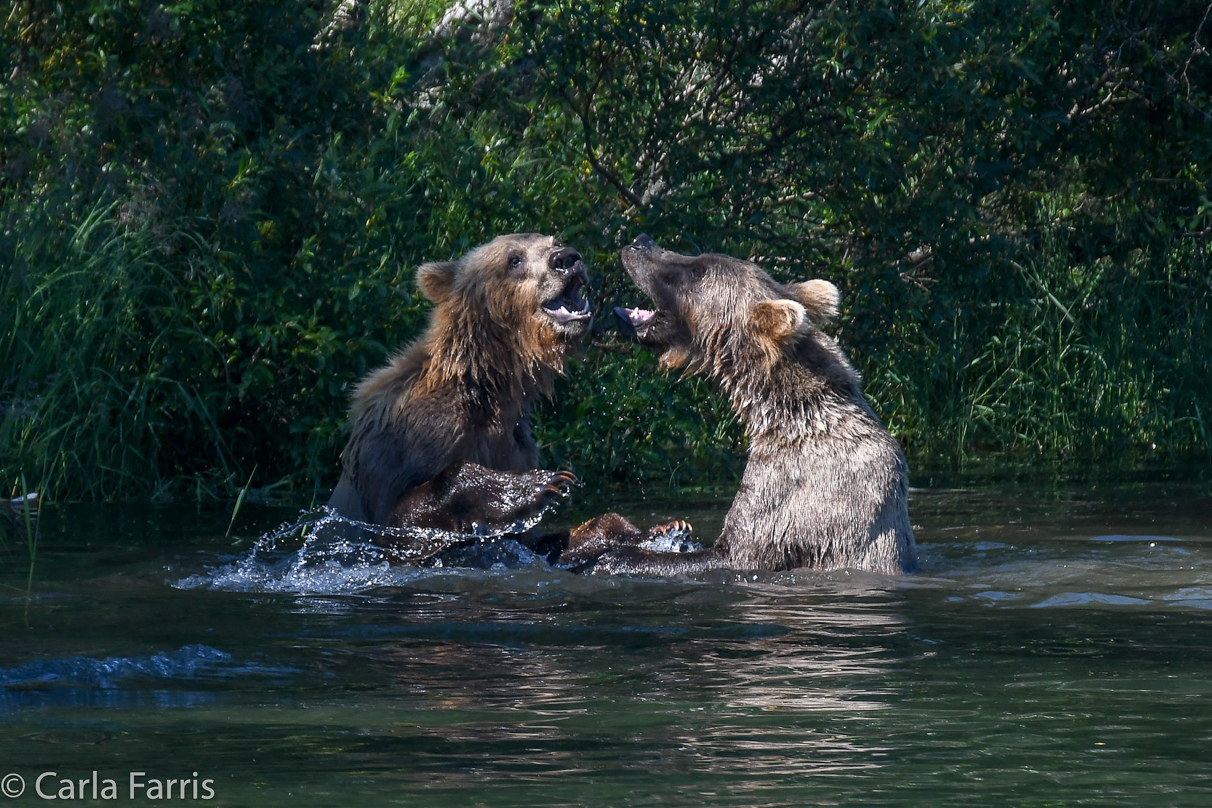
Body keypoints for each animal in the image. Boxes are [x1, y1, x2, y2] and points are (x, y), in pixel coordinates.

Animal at [327, 233, 591, 547]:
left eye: (555, 241)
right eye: (514, 259)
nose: (566, 258)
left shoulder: (513, 444)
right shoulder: (398, 447)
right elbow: (399, 518)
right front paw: (536, 485)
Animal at [567, 233, 916, 574]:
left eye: (697, 270)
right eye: (696, 258)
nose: (640, 241)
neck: (783, 411)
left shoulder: (794, 493)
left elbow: (735, 549)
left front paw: (610, 556)